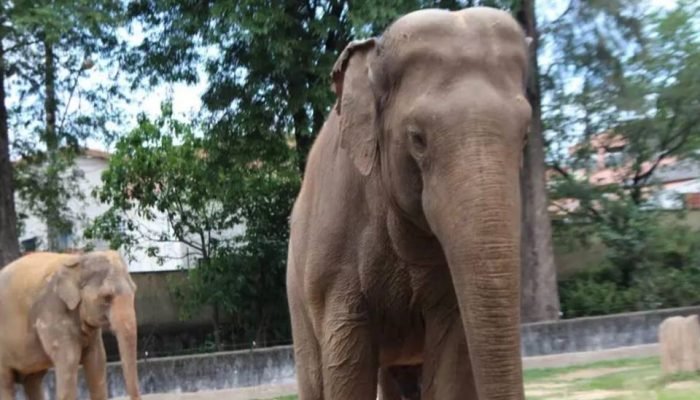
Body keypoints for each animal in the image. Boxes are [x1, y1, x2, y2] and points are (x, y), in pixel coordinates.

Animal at [0, 251, 141, 400]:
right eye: (107, 297)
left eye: (134, 291)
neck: (79, 260)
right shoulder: (51, 309)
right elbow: (69, 359)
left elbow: (97, 359)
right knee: (6, 382)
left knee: (33, 381)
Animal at [286, 6, 532, 400]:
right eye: (417, 138)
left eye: (525, 135)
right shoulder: (332, 256)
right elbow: (346, 363)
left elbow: (451, 362)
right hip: (296, 291)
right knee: (313, 375)